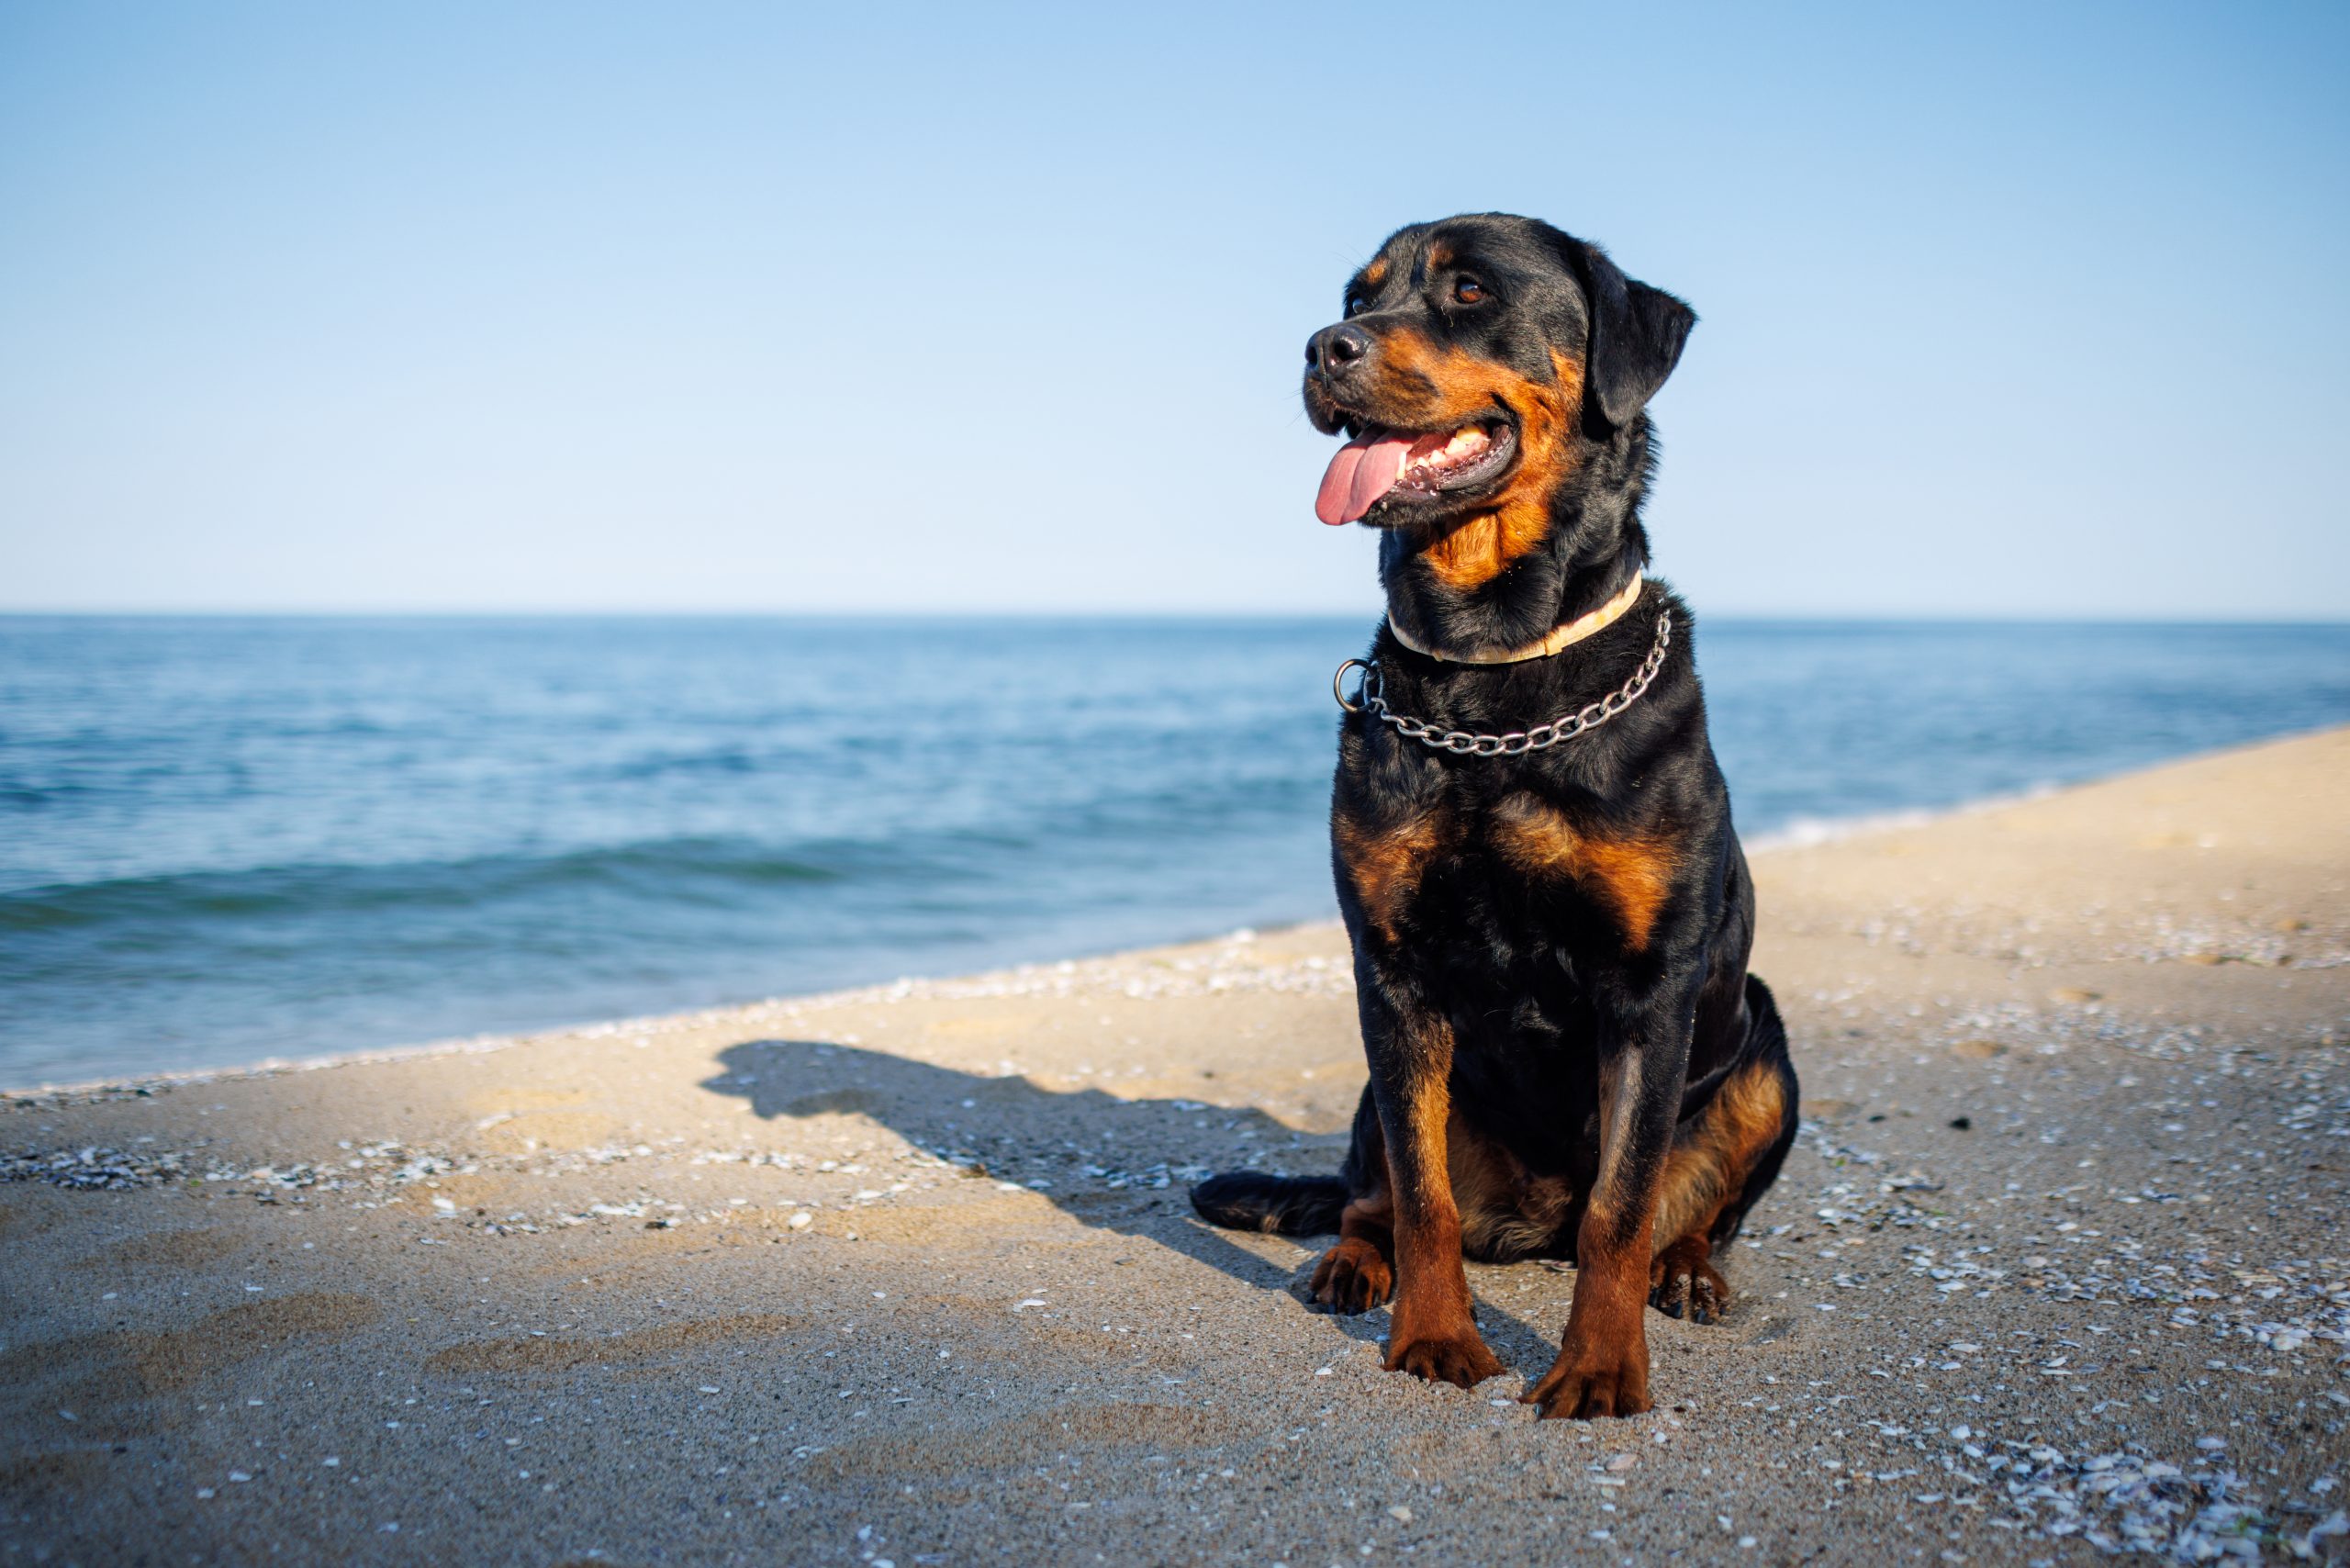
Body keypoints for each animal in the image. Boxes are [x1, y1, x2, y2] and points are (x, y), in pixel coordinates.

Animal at [1193, 211, 1795, 1419]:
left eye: (1469, 292)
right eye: (1358, 294)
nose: (1324, 346)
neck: (1495, 672)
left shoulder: (1648, 988)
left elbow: (1620, 1206)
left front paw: (1599, 1367)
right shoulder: (1391, 971)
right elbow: (1423, 1196)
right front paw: (1433, 1337)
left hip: (1764, 1044)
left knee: (1686, 1214)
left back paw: (1687, 1271)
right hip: (1380, 1086)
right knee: (1372, 1191)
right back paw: (1351, 1262)